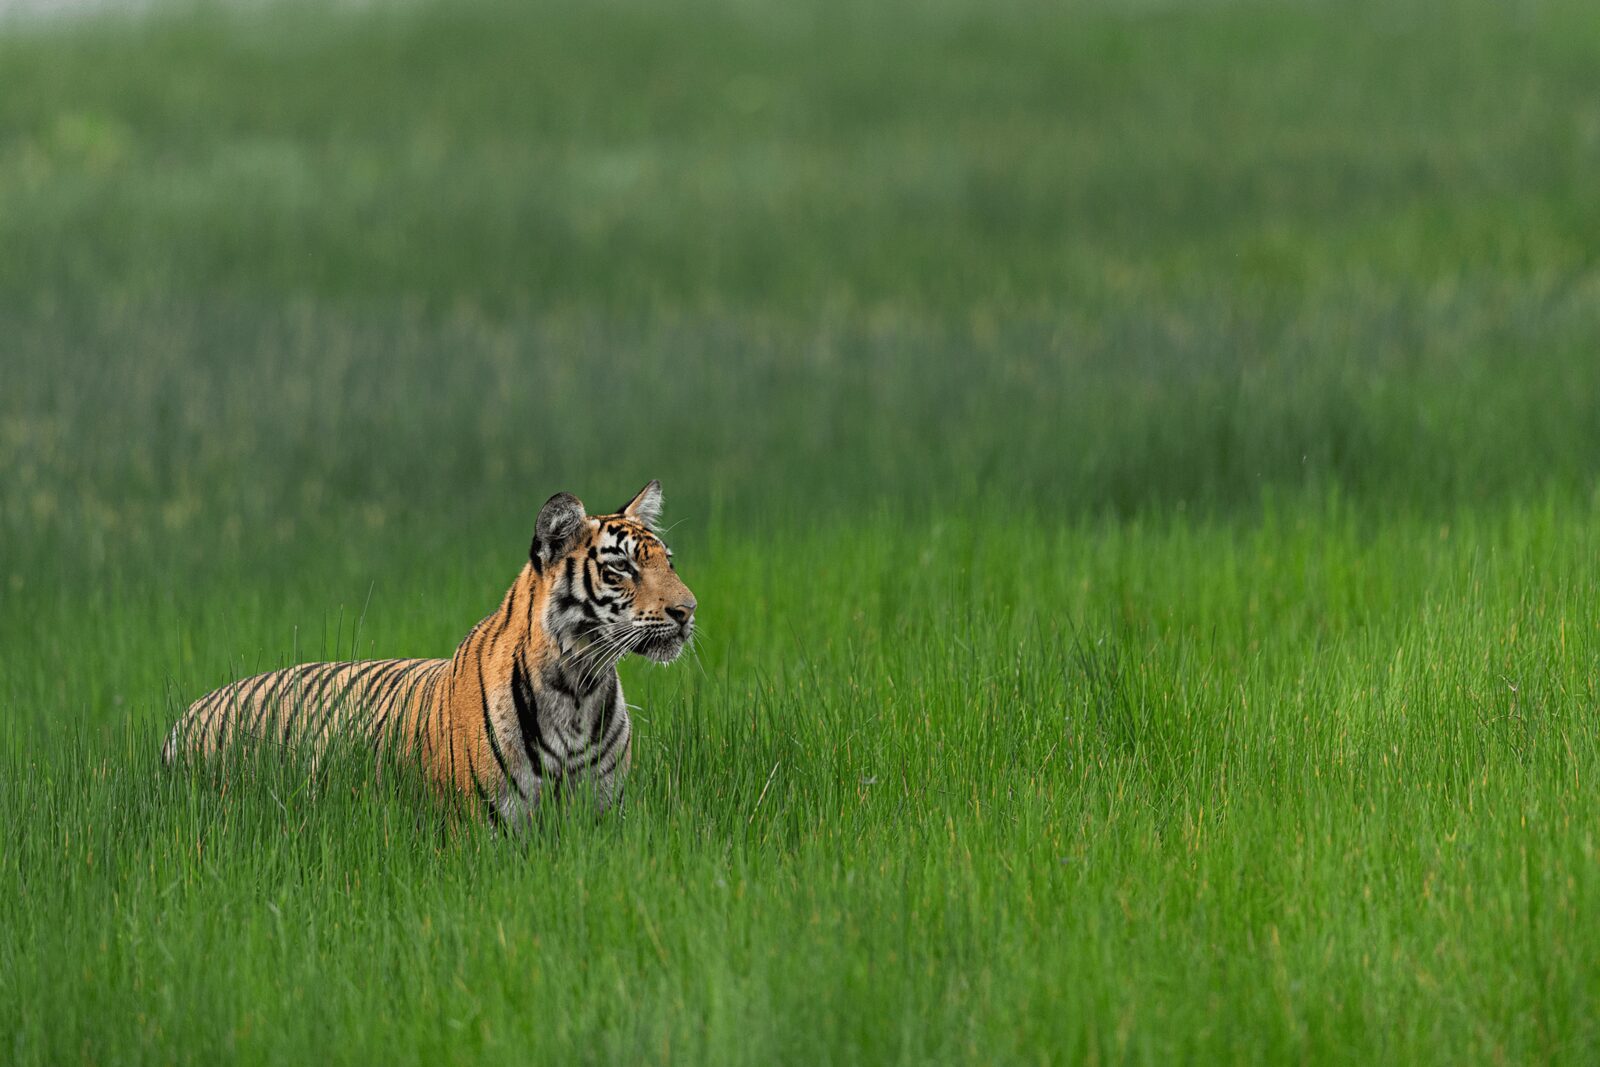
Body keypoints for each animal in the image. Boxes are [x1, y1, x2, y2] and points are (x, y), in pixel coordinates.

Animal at [161, 481, 696, 824]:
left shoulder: (603, 816)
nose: (688, 610)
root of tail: (186, 717)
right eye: (620, 569)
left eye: (667, 562)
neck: (578, 687)